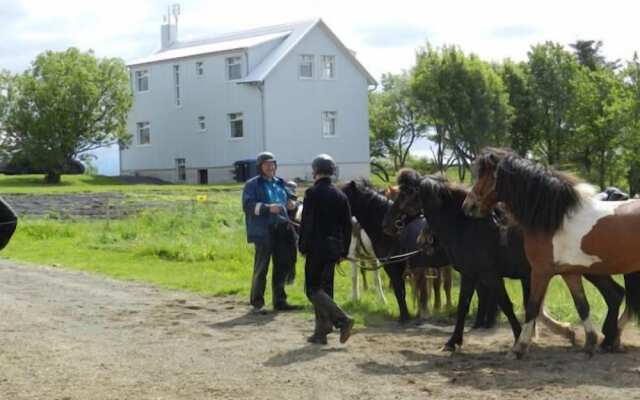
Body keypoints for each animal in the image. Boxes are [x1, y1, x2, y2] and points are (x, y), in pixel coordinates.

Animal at [380, 170, 624, 352]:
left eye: (404, 194)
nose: (387, 224)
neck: (468, 225)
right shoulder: (471, 274)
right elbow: (462, 306)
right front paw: (452, 342)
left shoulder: (491, 275)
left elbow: (507, 305)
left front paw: (519, 338)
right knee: (614, 295)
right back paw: (608, 340)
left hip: (591, 269)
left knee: (614, 295)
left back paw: (607, 339)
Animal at [462, 148, 640, 360]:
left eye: (484, 175)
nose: (468, 206)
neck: (553, 219)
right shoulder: (570, 273)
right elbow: (582, 306)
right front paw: (588, 343)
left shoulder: (540, 272)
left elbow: (532, 307)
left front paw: (519, 348)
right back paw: (609, 341)